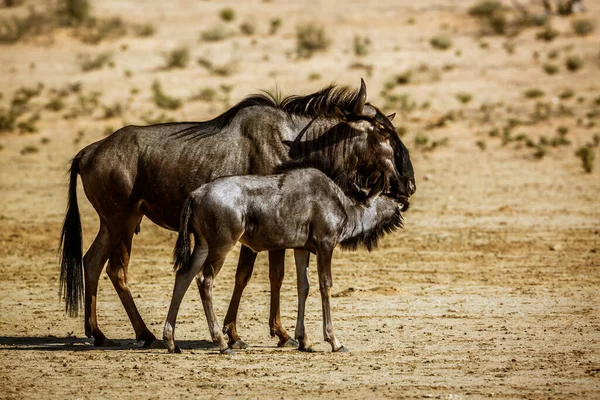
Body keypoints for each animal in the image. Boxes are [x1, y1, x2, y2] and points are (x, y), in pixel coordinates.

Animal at [163, 167, 404, 354]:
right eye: (387, 195)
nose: (402, 203)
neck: (341, 205)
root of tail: (196, 195)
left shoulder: (301, 249)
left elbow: (303, 286)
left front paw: (304, 340)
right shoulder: (325, 245)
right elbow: (325, 285)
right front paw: (334, 341)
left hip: (203, 246)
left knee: (183, 276)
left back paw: (171, 341)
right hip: (221, 246)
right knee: (205, 281)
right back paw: (222, 343)